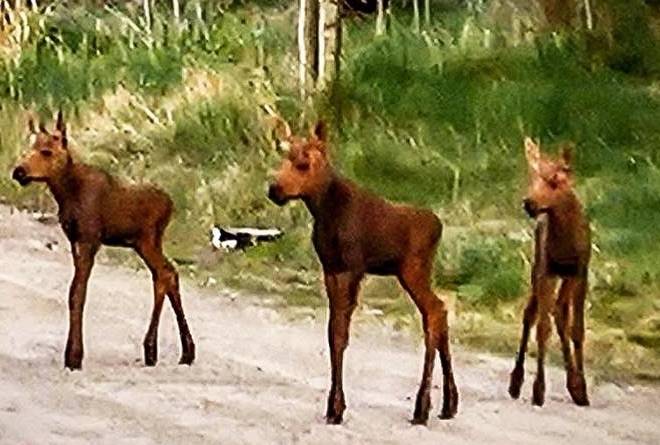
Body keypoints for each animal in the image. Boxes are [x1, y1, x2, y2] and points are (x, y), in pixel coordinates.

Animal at [11, 112, 195, 372]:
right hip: (145, 243)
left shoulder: (90, 240)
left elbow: (78, 293)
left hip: (147, 240)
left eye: (46, 151)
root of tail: (171, 205)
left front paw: (74, 356)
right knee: (166, 273)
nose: (19, 172)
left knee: (165, 273)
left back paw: (172, 350)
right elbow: (74, 292)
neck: (66, 192)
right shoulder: (74, 240)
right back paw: (165, 351)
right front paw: (71, 354)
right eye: (30, 147)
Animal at [510, 137, 592, 408]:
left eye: (555, 179)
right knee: (532, 313)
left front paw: (581, 388)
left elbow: (577, 328)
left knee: (559, 312)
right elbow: (542, 328)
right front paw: (538, 389)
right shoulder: (547, 270)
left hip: (564, 276)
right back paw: (516, 381)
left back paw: (574, 384)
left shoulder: (580, 271)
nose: (529, 203)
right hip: (538, 267)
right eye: (532, 175)